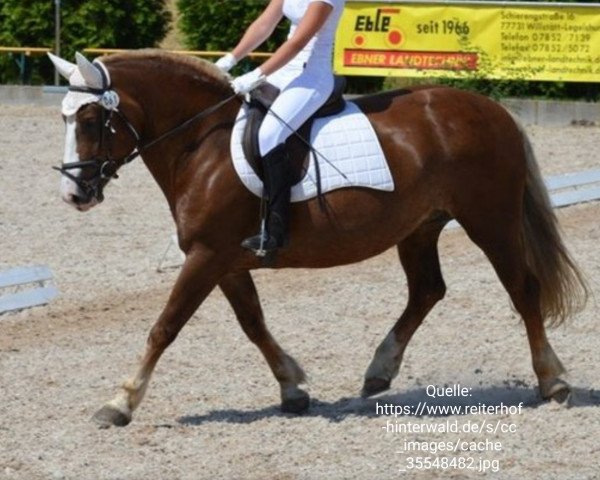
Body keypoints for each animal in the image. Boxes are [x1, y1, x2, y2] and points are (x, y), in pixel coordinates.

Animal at [50, 51, 584, 428]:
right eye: (64, 120)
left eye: (92, 121)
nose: (74, 193)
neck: (200, 143)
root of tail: (491, 109)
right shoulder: (226, 260)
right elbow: (253, 323)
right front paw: (292, 388)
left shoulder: (206, 256)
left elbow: (165, 327)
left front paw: (119, 402)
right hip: (420, 227)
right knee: (427, 290)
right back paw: (379, 371)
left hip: (489, 220)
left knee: (522, 289)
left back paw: (553, 381)